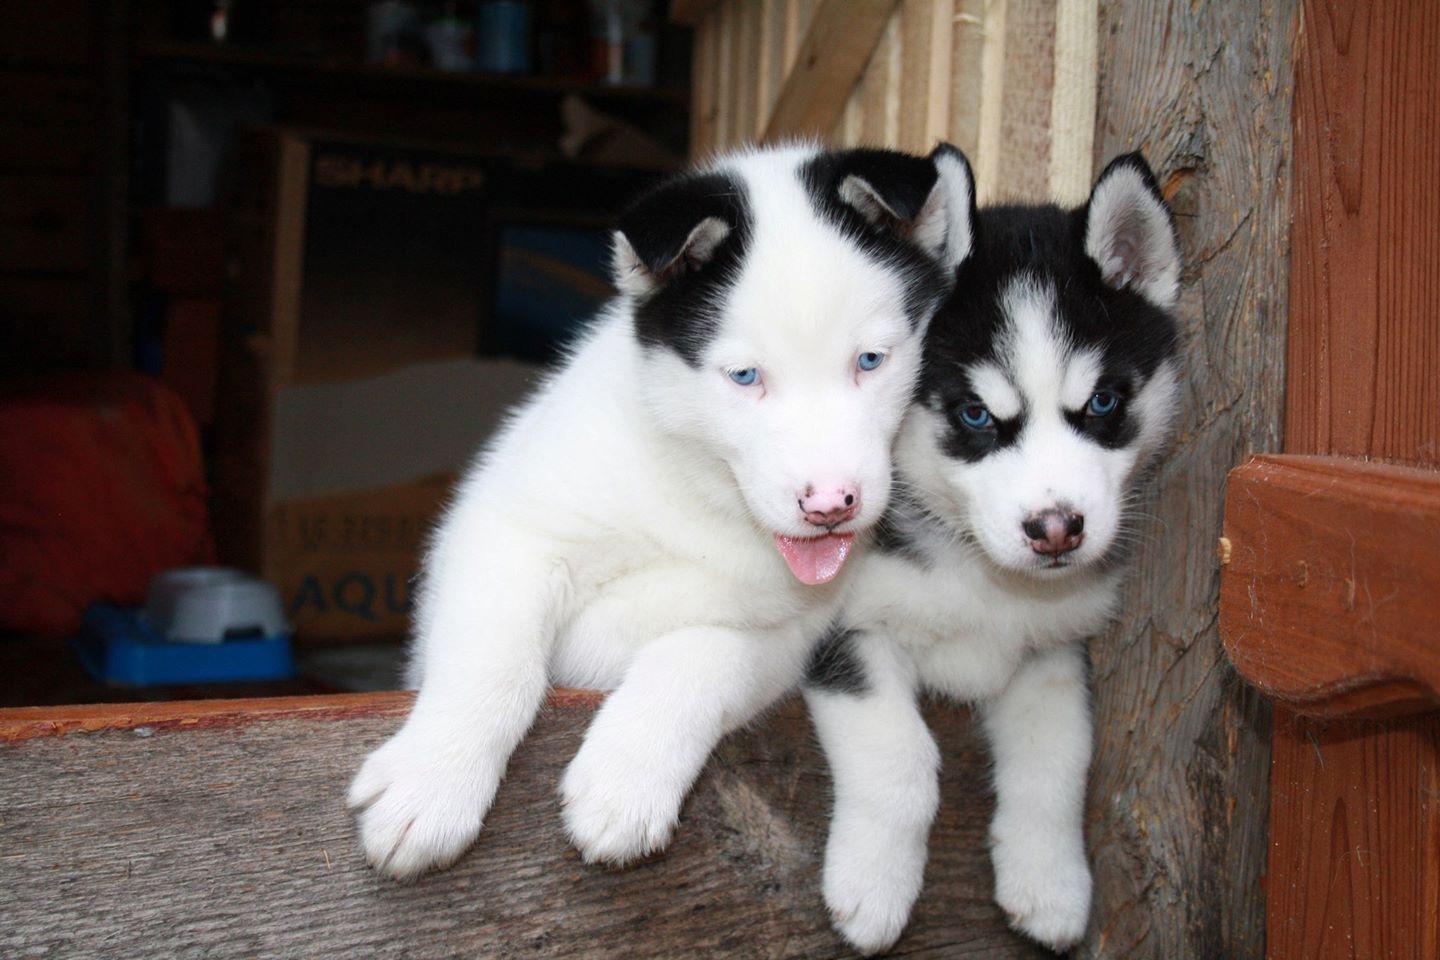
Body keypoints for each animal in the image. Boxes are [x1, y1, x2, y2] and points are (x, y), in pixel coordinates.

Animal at [806, 156, 1175, 955]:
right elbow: (903, 756)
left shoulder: (1053, 652)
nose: (1057, 529)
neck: (980, 574)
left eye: (1103, 404)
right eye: (976, 415)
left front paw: (1051, 882)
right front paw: (874, 885)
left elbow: (1059, 759)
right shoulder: (840, 629)